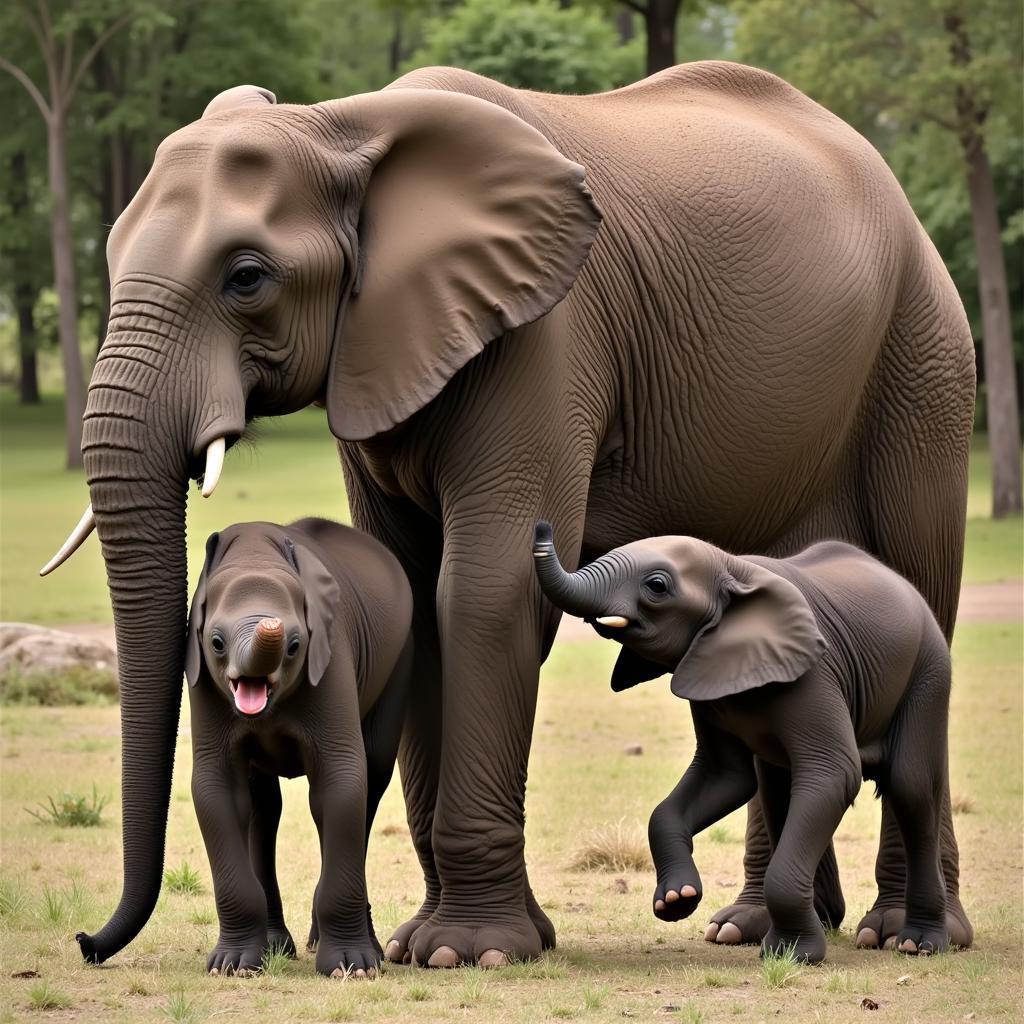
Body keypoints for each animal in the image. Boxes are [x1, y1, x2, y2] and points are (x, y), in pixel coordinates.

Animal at [184, 520, 411, 974]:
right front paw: (232, 966)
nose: (272, 624)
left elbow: (342, 781)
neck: (256, 555)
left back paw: (360, 948)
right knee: (263, 806)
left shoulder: (333, 651)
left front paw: (351, 967)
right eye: (216, 642)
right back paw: (276, 947)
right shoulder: (199, 674)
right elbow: (217, 789)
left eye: (294, 645)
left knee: (371, 779)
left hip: (399, 658)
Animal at [532, 524, 954, 962]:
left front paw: (793, 955)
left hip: (929, 672)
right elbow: (724, 777)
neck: (732, 567)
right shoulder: (707, 674)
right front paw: (677, 901)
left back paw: (917, 942)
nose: (541, 529)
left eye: (656, 586)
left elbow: (835, 774)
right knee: (778, 792)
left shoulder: (815, 673)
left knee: (909, 788)